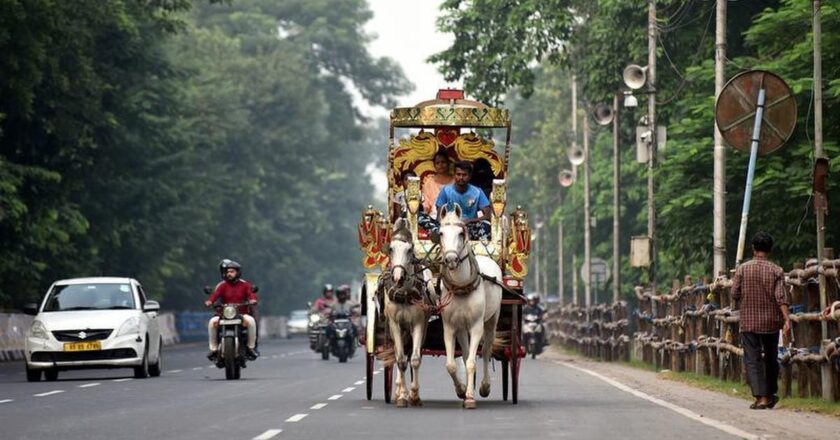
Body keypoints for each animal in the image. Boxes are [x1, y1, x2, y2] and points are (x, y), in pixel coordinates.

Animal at [436, 206, 502, 410]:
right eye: (441, 233)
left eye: (460, 233)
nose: (450, 259)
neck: (461, 287)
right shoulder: (449, 326)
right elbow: (452, 364)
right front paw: (462, 390)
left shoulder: (476, 326)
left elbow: (473, 361)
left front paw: (471, 397)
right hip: (461, 328)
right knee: (465, 355)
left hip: (492, 318)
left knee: (487, 350)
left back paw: (484, 386)